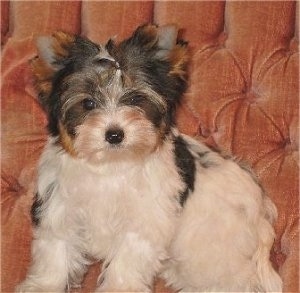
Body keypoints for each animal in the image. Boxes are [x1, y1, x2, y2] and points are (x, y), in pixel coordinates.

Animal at [16, 24, 282, 290]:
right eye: (88, 103)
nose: (114, 134)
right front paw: (44, 286)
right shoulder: (58, 206)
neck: (111, 164)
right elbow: (56, 250)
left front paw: (119, 288)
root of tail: (260, 213)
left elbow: (127, 259)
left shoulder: (145, 220)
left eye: (136, 99)